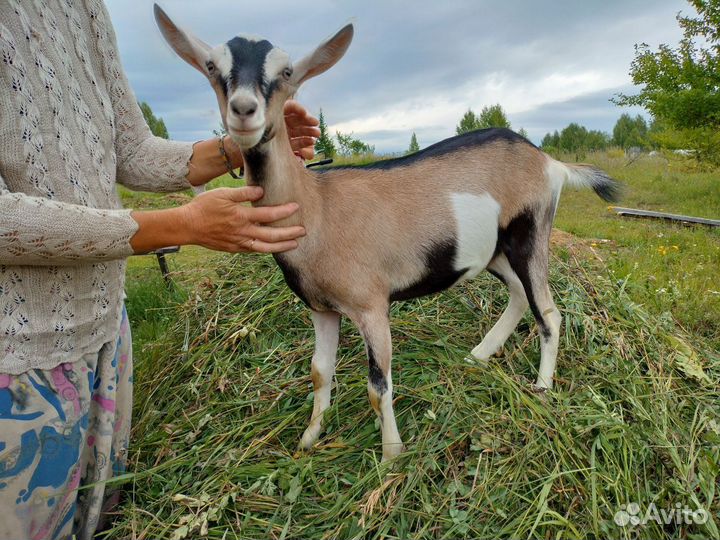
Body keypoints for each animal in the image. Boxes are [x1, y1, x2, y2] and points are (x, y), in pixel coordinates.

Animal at [155, 5, 620, 460]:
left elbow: (378, 387)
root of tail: (550, 163)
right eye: (212, 66)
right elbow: (319, 372)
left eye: (287, 72)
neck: (317, 206)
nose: (244, 110)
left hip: (531, 234)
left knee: (548, 312)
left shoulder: (371, 306)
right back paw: (477, 356)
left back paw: (541, 388)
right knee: (521, 296)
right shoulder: (321, 309)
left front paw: (392, 456)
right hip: (492, 252)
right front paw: (309, 439)